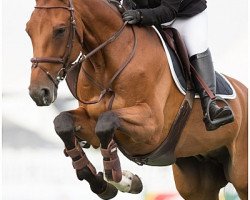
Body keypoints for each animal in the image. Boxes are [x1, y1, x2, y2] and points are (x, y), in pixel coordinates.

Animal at [26, 0, 248, 198]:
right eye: (28, 30)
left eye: (60, 30)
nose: (38, 92)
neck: (107, 64)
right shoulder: (89, 121)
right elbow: (62, 123)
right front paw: (102, 184)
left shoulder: (152, 127)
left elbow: (106, 123)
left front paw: (125, 180)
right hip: (196, 177)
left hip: (241, 178)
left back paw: (217, 111)